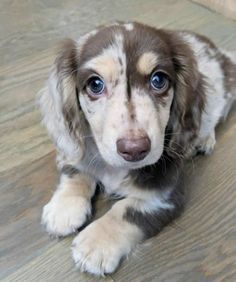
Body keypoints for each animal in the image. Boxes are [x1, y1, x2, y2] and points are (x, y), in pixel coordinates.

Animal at [39, 22, 235, 276]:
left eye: (159, 80)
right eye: (95, 84)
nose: (134, 150)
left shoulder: (165, 194)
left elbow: (127, 210)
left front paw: (96, 244)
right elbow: (76, 172)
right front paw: (63, 208)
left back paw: (204, 140)